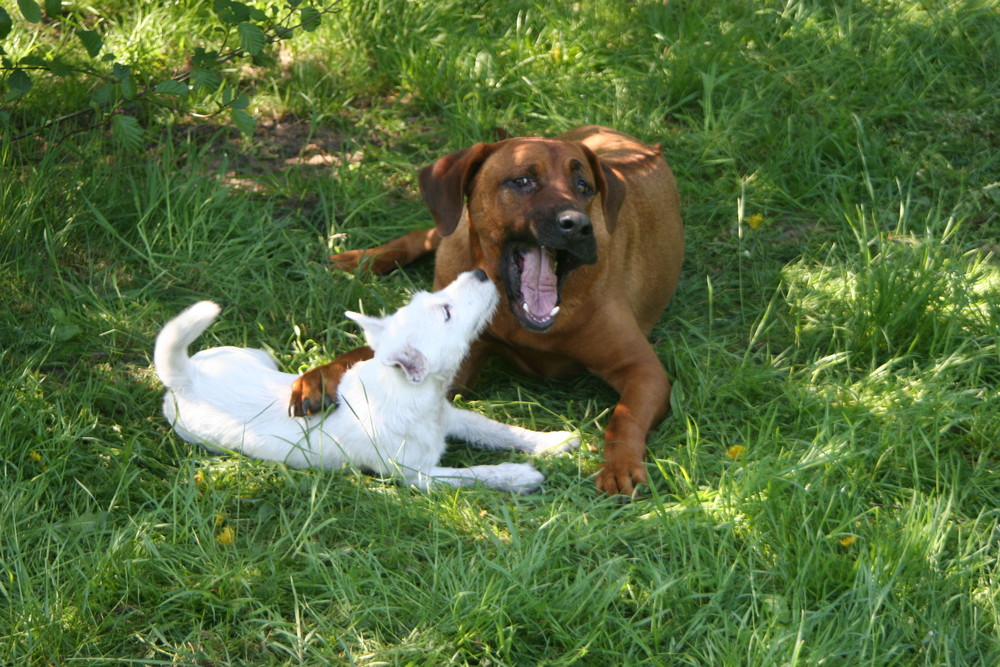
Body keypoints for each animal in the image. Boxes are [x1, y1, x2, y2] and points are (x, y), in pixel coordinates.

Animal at [153, 268, 584, 494]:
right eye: (446, 312)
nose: (479, 271)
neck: (407, 396)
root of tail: (186, 376)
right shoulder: (420, 476)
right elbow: (475, 474)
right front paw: (519, 475)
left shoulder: (453, 416)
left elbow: (497, 428)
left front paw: (552, 441)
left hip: (256, 356)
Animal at [290, 128, 680, 498]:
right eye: (522, 181)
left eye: (584, 187)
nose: (579, 225)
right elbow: (374, 353)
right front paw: (322, 375)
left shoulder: (643, 370)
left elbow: (623, 419)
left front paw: (619, 466)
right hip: (452, 231)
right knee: (429, 233)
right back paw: (362, 260)